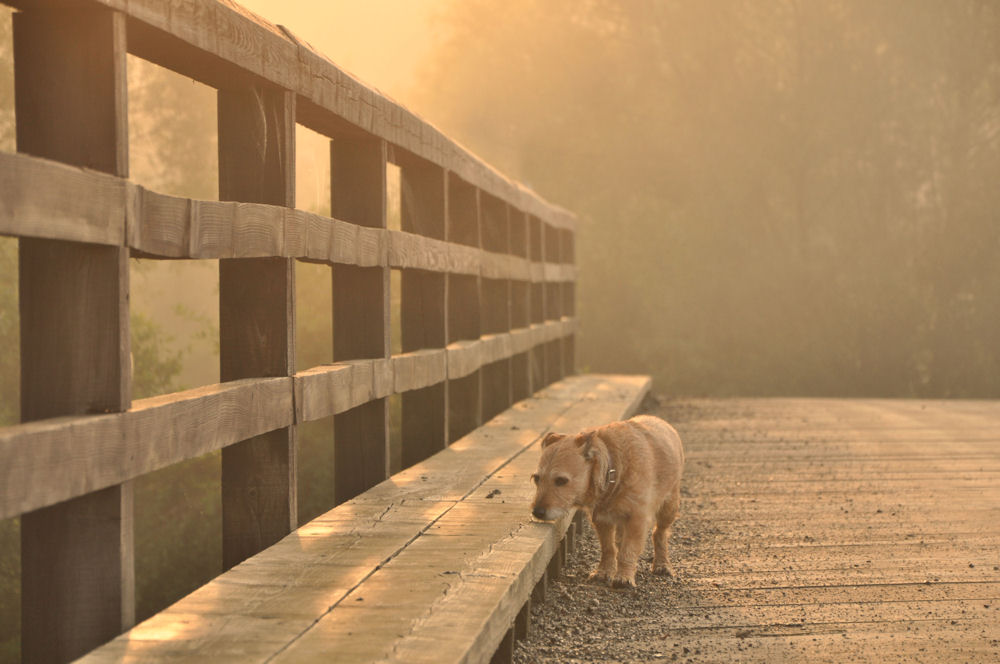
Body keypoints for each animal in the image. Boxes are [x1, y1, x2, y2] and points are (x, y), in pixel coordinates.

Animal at [532, 416, 688, 588]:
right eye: (537, 478)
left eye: (561, 480)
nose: (537, 512)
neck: (613, 470)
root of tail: (661, 421)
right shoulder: (602, 520)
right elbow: (608, 548)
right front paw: (604, 571)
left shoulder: (637, 520)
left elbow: (628, 550)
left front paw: (624, 576)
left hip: (669, 508)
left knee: (659, 533)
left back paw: (662, 564)